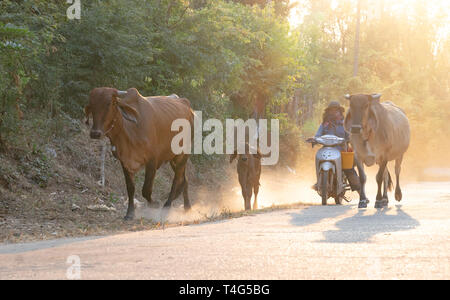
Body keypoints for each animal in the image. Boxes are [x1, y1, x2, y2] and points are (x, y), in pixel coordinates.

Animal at [85, 88, 194, 219]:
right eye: (92, 104)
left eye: (110, 103)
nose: (95, 133)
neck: (129, 129)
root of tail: (186, 104)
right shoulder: (125, 161)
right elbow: (130, 188)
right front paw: (130, 213)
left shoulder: (152, 160)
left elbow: (146, 189)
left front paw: (154, 204)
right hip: (173, 157)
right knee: (184, 179)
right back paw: (187, 206)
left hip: (183, 153)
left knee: (177, 179)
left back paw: (167, 205)